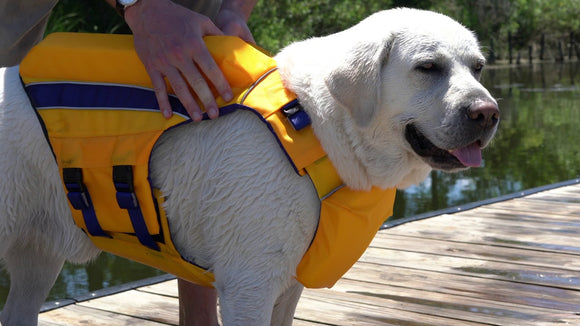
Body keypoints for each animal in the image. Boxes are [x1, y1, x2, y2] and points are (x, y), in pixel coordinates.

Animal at [0, 7, 498, 326]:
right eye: (427, 67)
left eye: (477, 67)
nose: (488, 113)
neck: (313, 125)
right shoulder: (248, 285)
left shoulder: (287, 284)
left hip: (37, 258)